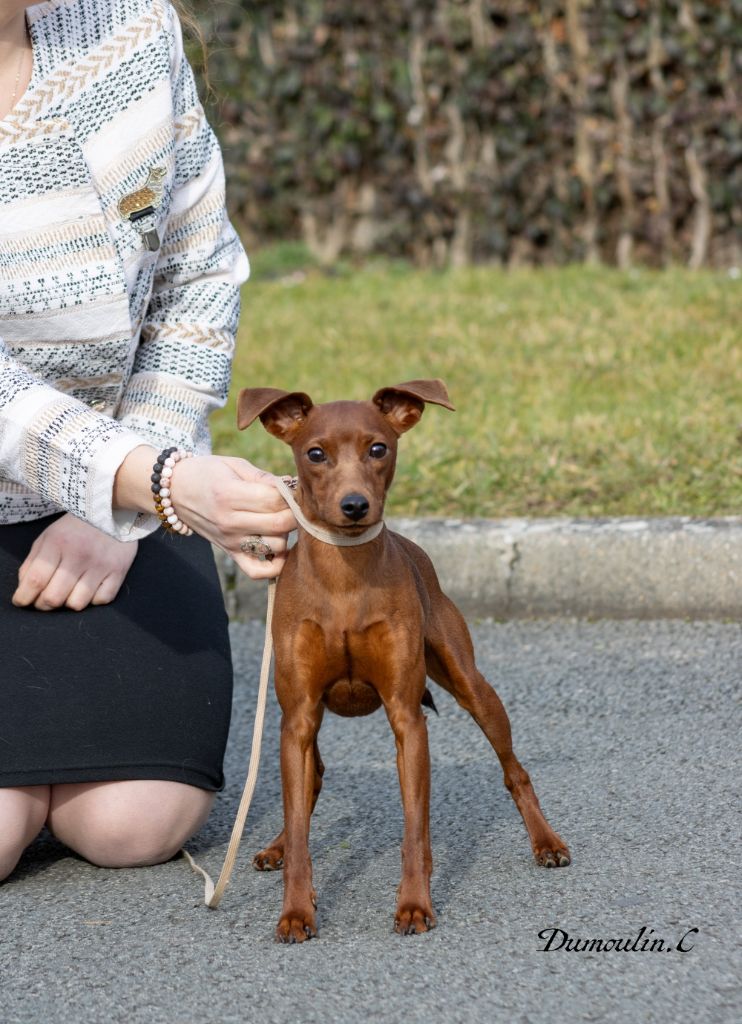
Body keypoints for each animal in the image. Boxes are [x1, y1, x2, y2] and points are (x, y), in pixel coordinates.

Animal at [237, 380, 569, 937]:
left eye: (379, 448)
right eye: (315, 454)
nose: (355, 505)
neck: (345, 578)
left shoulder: (406, 717)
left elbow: (416, 826)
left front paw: (415, 903)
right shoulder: (297, 716)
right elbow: (301, 825)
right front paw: (296, 910)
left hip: (470, 682)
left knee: (514, 770)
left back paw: (547, 842)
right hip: (302, 722)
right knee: (308, 786)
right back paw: (277, 845)